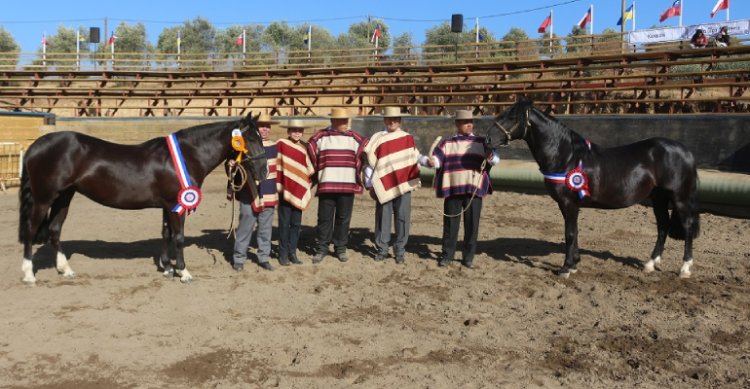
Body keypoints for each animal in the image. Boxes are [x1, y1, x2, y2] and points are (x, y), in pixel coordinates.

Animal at [16, 113, 270, 284]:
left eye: (260, 137)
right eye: (250, 139)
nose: (264, 171)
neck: (187, 155)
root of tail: (35, 146)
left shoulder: (168, 205)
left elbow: (166, 233)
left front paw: (167, 268)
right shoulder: (176, 205)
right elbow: (178, 237)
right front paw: (183, 272)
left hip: (64, 196)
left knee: (55, 230)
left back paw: (65, 270)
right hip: (44, 198)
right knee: (31, 229)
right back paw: (29, 274)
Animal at [484, 98, 704, 278]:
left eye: (512, 117)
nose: (487, 139)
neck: (566, 156)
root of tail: (685, 151)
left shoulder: (568, 203)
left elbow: (569, 233)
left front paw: (566, 268)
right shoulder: (569, 205)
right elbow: (574, 231)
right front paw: (574, 264)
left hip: (679, 198)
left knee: (687, 227)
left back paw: (684, 268)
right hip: (658, 198)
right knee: (662, 226)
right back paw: (650, 264)